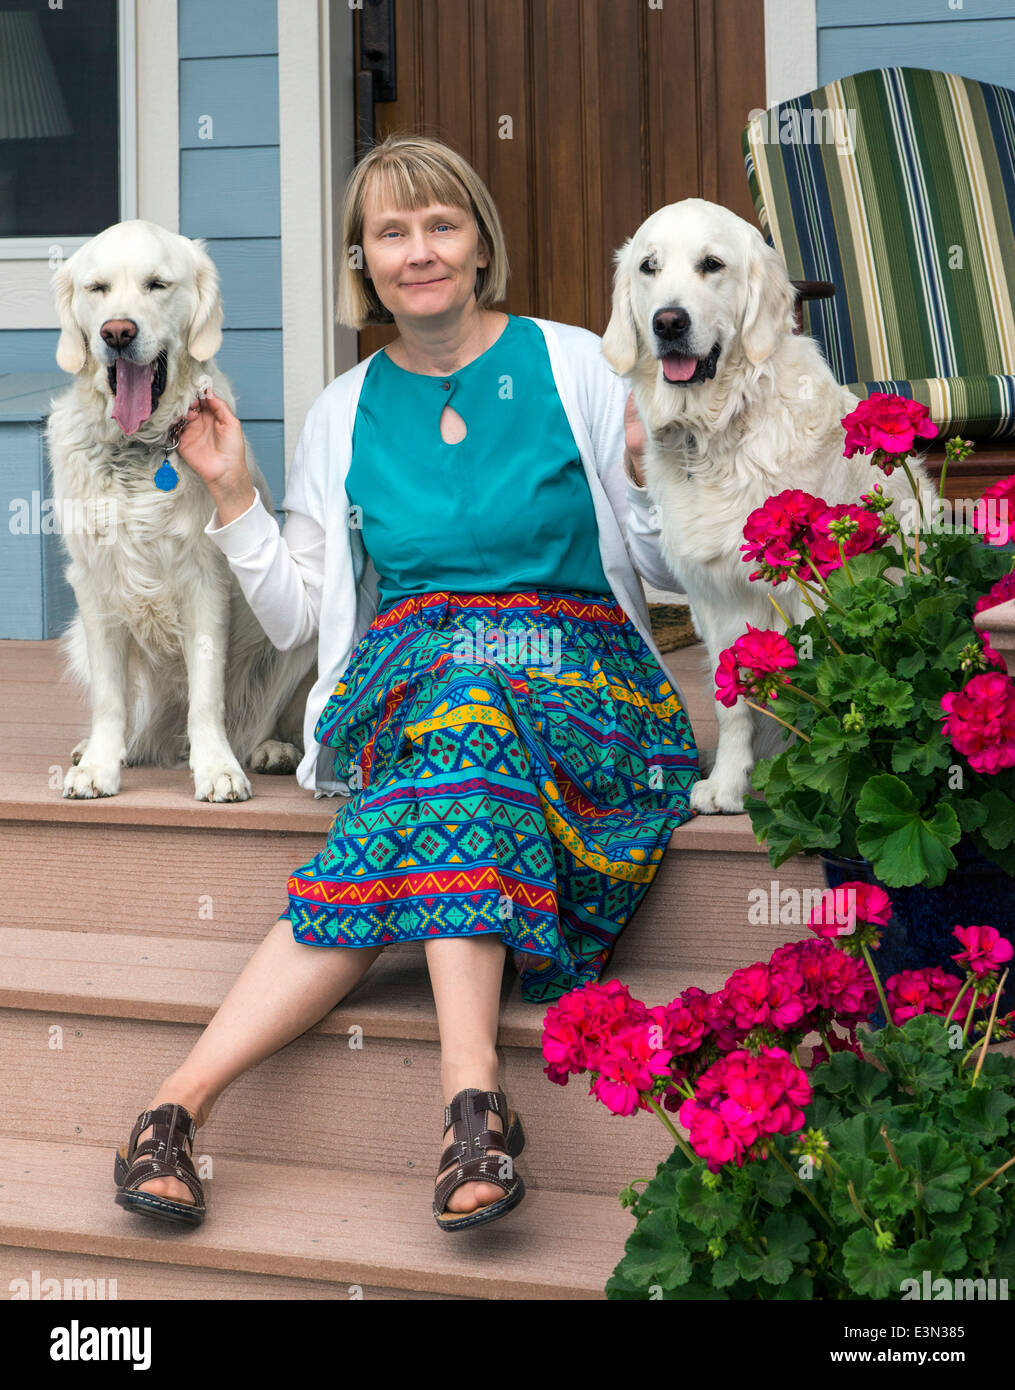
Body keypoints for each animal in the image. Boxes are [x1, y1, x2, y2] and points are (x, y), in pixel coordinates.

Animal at [46, 218, 312, 806]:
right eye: (98, 288)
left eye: (157, 285)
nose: (117, 333)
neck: (140, 448)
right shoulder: (94, 582)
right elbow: (109, 698)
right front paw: (99, 765)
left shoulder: (205, 580)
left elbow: (207, 694)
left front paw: (217, 769)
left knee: (275, 716)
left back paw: (273, 749)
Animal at [597, 195, 928, 811]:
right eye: (649, 267)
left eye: (712, 264)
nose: (668, 322)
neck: (718, 433)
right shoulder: (712, 598)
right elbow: (734, 705)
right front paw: (728, 784)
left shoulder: (810, 589)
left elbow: (815, 683)